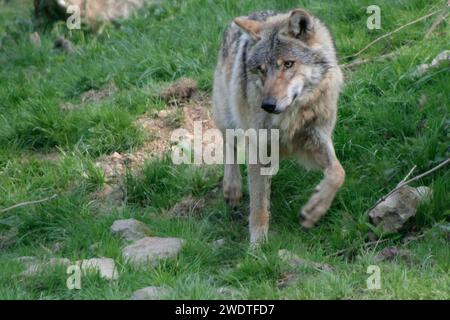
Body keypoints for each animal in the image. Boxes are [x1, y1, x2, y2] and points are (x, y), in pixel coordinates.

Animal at [213, 8, 346, 244]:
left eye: (288, 64)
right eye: (261, 69)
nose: (267, 105)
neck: (291, 117)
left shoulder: (316, 139)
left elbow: (338, 173)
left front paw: (313, 211)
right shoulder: (257, 147)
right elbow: (258, 205)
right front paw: (258, 245)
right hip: (227, 114)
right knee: (229, 143)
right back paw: (232, 188)